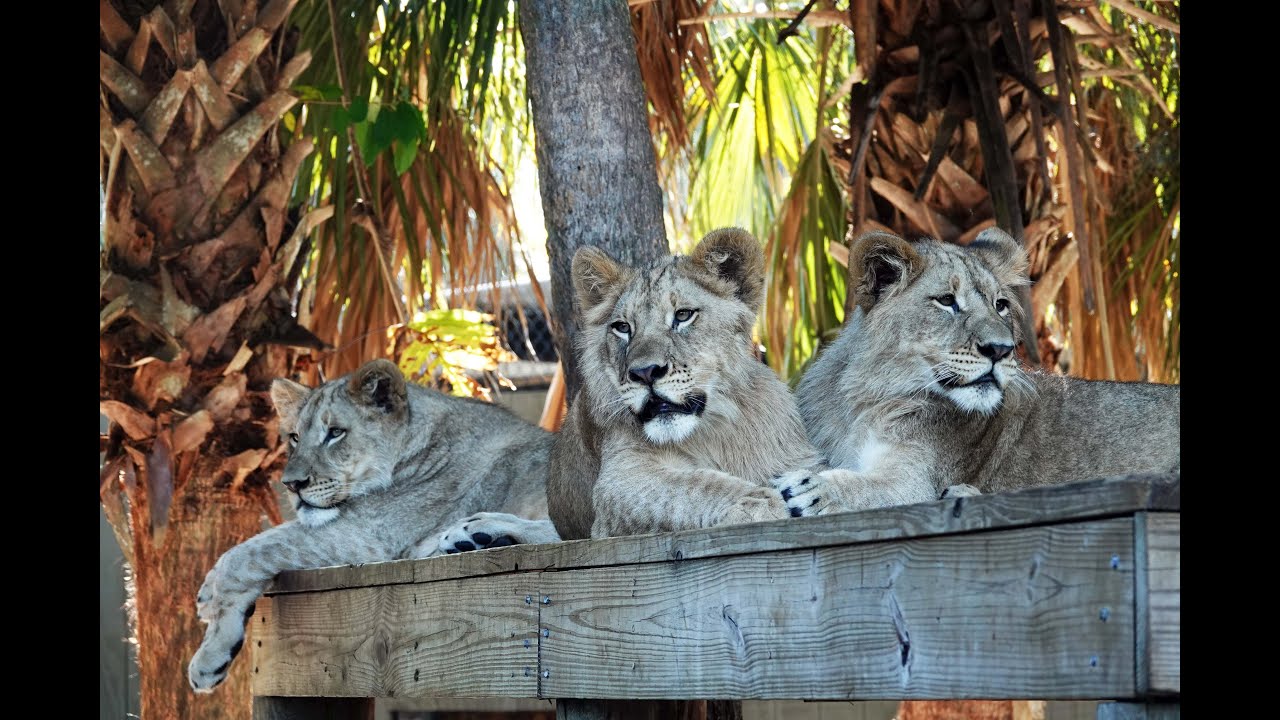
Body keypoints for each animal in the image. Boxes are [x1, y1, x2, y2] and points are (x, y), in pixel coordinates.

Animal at [187, 359, 559, 692]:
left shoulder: (369, 533)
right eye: (293, 437)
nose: (291, 484)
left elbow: (250, 553)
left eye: (335, 433)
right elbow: (256, 546)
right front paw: (209, 613)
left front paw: (207, 635)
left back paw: (475, 531)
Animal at [546, 227, 921, 540]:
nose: (645, 372)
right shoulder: (621, 480)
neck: (716, 430)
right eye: (622, 327)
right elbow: (696, 487)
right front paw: (768, 506)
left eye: (683, 316)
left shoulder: (798, 457)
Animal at [776, 227, 1180, 516]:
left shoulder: (915, 479)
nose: (1001, 350)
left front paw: (814, 488)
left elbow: (869, 488)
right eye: (946, 301)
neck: (863, 401)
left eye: (1000, 305)